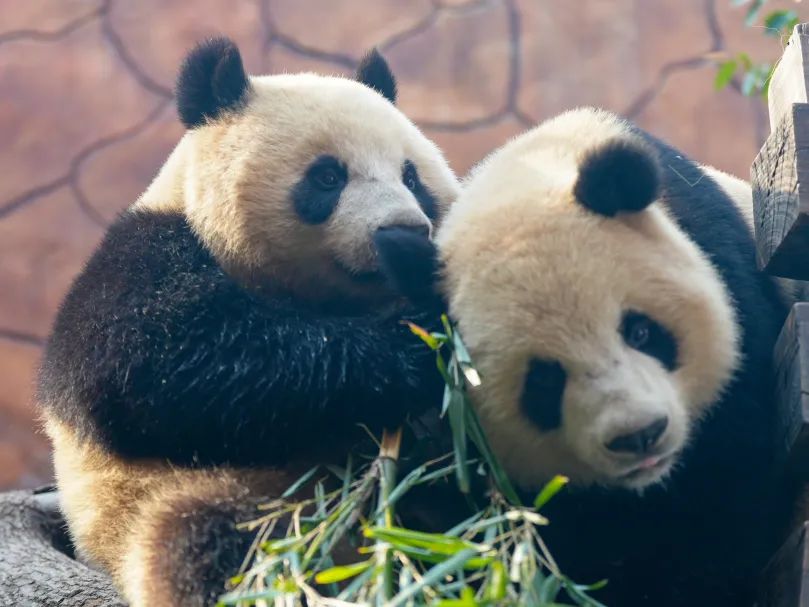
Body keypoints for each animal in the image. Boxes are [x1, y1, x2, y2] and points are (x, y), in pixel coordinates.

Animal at [38, 36, 458, 607]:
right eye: (328, 176)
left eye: (412, 178)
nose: (406, 231)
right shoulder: (141, 257)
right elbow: (161, 362)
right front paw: (411, 345)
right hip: (188, 500)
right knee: (215, 545)